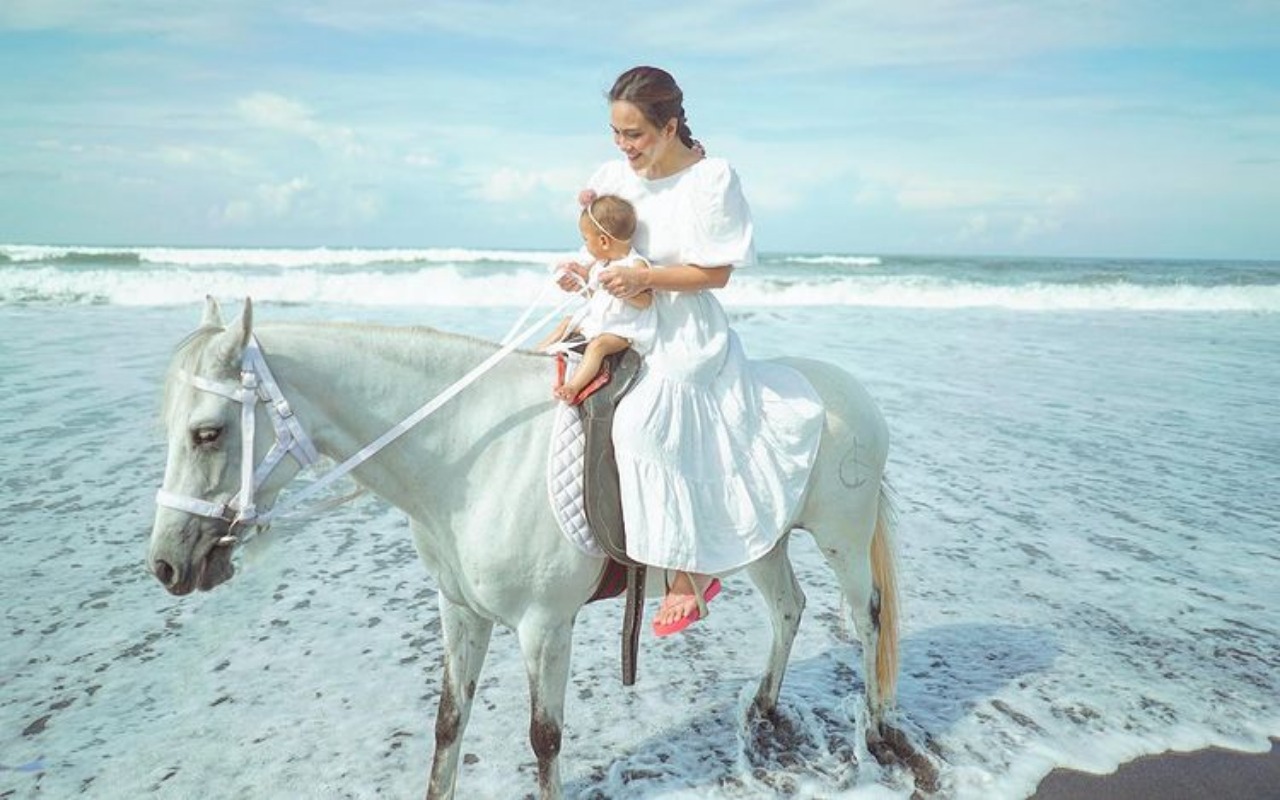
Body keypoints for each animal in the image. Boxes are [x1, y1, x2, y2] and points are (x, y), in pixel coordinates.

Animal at [147, 298, 911, 798]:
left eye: (208, 432)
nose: (166, 564)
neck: (470, 452)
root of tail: (851, 392)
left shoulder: (545, 627)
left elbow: (544, 739)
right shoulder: (459, 610)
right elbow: (448, 724)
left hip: (842, 539)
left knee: (866, 615)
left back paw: (877, 728)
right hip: (759, 542)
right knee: (789, 607)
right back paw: (762, 705)